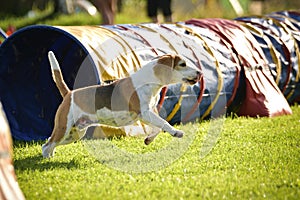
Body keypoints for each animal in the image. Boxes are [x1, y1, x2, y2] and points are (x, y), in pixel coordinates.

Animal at [41, 51, 200, 158]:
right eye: (182, 64)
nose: (200, 72)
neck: (148, 81)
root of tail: (69, 93)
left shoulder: (147, 114)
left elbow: (158, 128)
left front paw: (148, 140)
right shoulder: (145, 113)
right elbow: (164, 123)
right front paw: (176, 132)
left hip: (75, 134)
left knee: (49, 143)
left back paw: (51, 156)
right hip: (64, 129)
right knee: (46, 145)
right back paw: (47, 160)